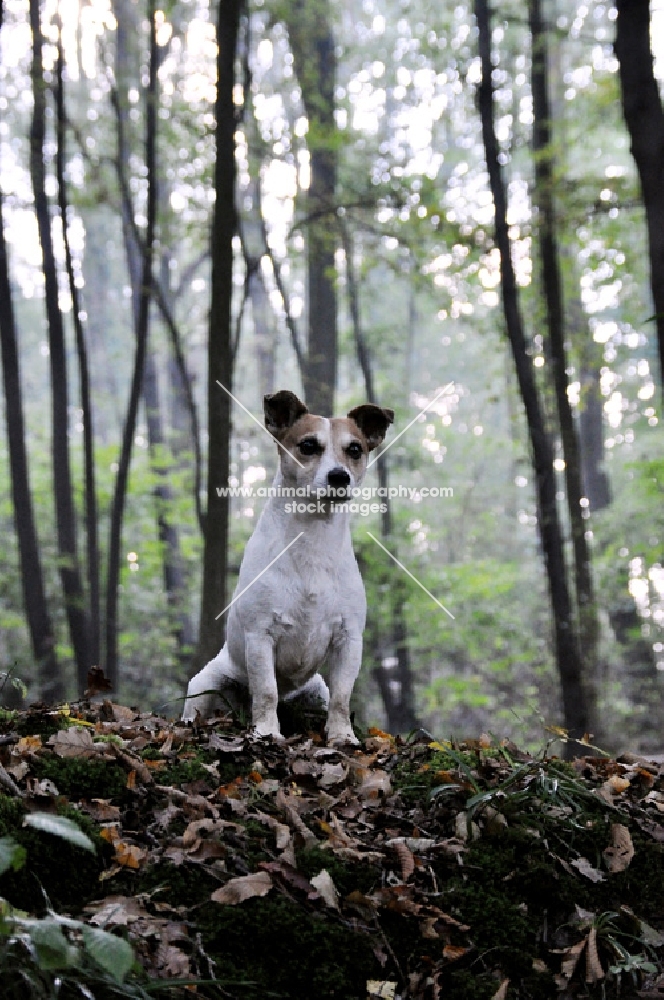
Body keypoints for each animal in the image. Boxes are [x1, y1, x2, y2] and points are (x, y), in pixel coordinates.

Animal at [182, 390, 394, 744]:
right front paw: (267, 732)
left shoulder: (349, 639)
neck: (312, 538)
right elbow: (266, 690)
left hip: (315, 692)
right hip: (206, 685)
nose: (339, 477)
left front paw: (342, 737)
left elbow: (342, 697)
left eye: (355, 449)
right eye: (308, 445)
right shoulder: (260, 635)